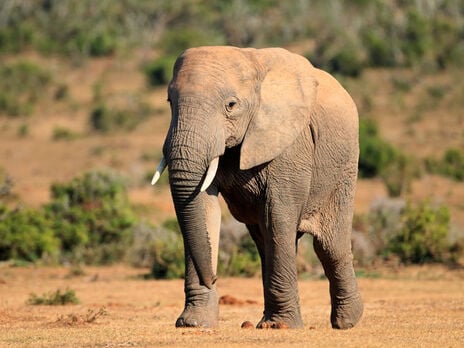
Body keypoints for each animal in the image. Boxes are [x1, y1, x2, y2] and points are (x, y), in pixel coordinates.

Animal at [152, 45, 362, 328]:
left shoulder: (290, 141)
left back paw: (346, 322)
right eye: (170, 102)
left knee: (328, 244)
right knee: (265, 241)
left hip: (345, 167)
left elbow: (278, 215)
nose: (213, 278)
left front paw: (279, 327)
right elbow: (204, 209)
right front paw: (193, 323)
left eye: (231, 105)